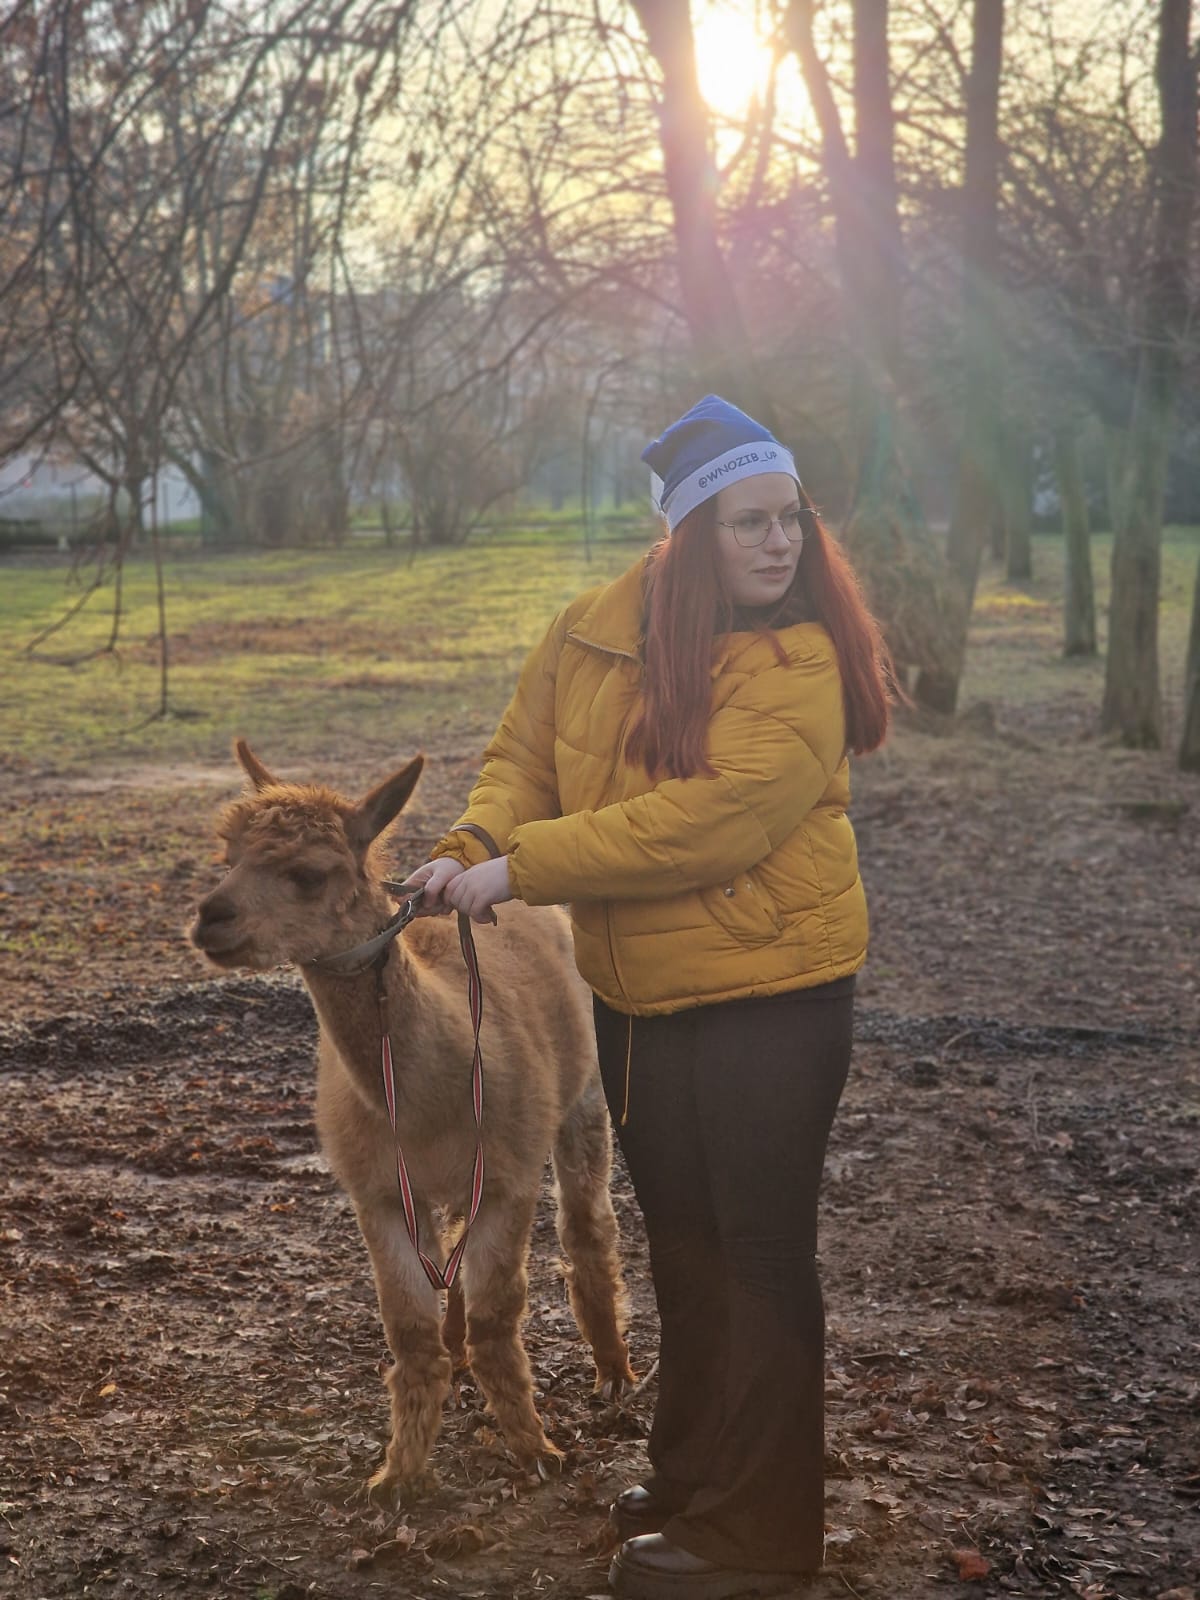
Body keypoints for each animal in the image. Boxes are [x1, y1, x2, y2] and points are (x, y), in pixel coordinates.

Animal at [189, 741, 634, 1496]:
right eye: (228, 858)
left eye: (308, 874)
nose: (209, 919)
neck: (430, 1101)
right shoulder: (379, 1192)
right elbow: (409, 1329)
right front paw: (398, 1473)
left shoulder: (509, 1177)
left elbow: (497, 1320)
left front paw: (535, 1451)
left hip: (582, 1099)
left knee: (586, 1226)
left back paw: (613, 1371)